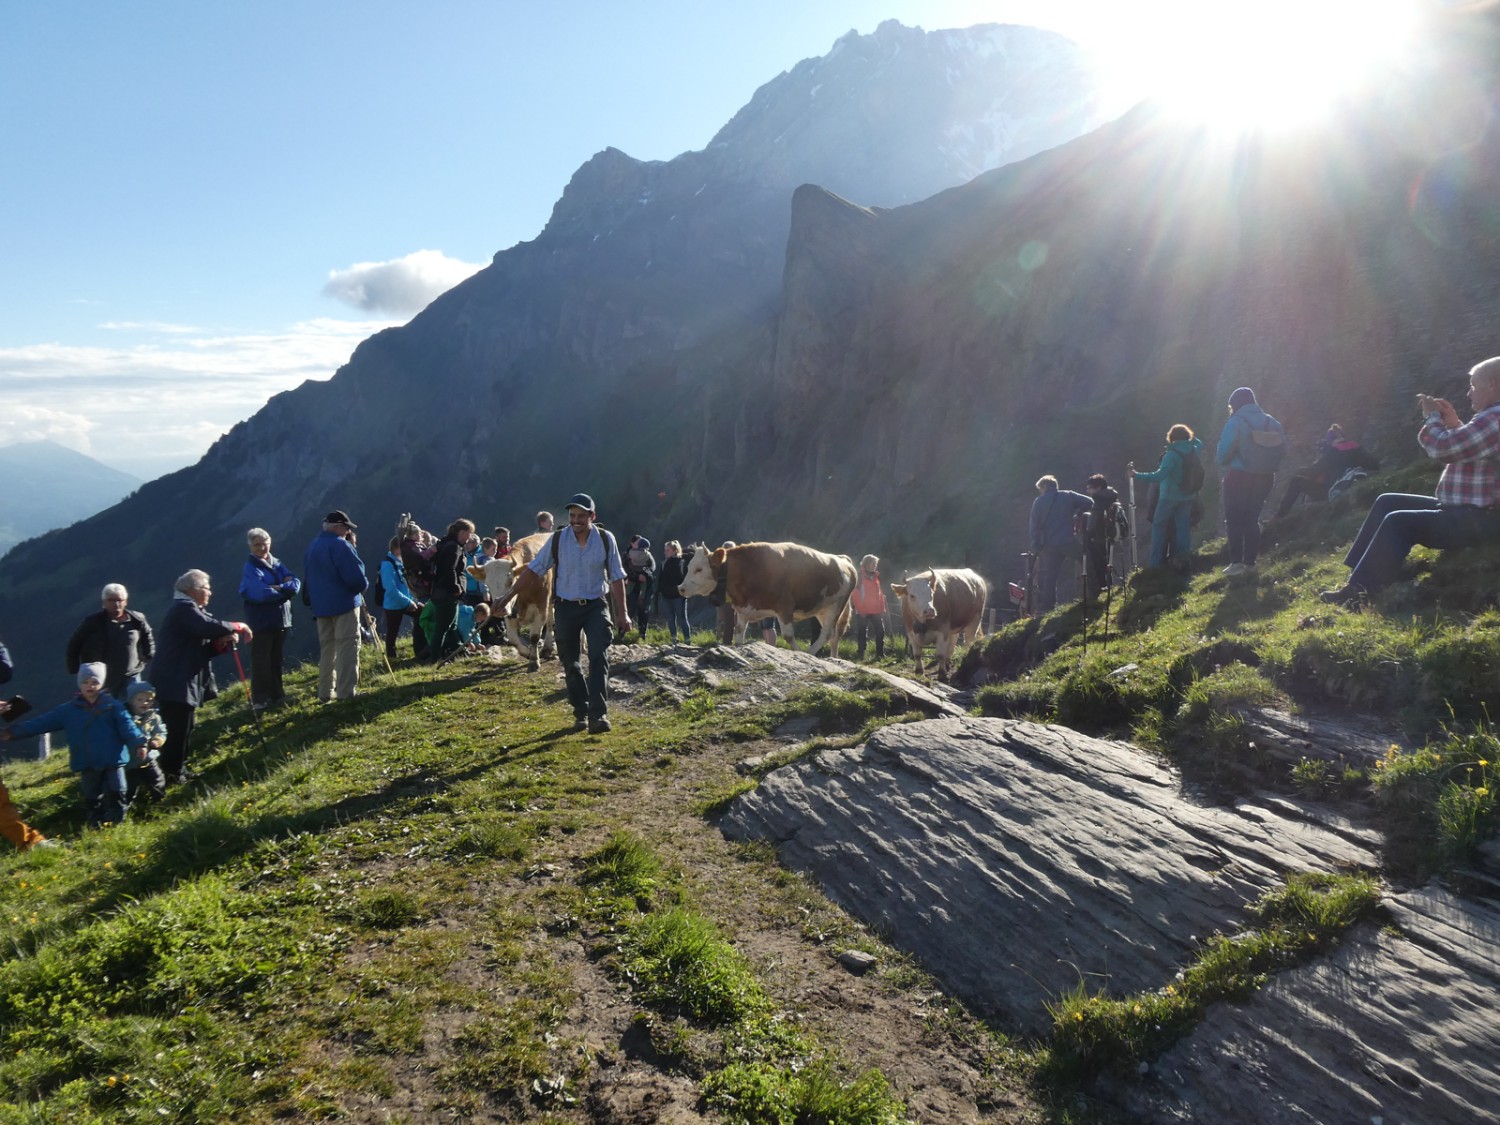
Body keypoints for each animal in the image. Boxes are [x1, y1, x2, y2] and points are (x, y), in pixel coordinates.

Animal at [678, 543, 858, 657]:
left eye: (699, 569)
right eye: (688, 567)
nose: (681, 588)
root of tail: (843, 560)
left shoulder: (785, 607)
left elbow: (788, 636)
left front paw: (798, 652)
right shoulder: (743, 610)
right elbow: (739, 633)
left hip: (836, 605)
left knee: (828, 632)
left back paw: (810, 652)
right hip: (822, 609)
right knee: (834, 635)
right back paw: (833, 657)